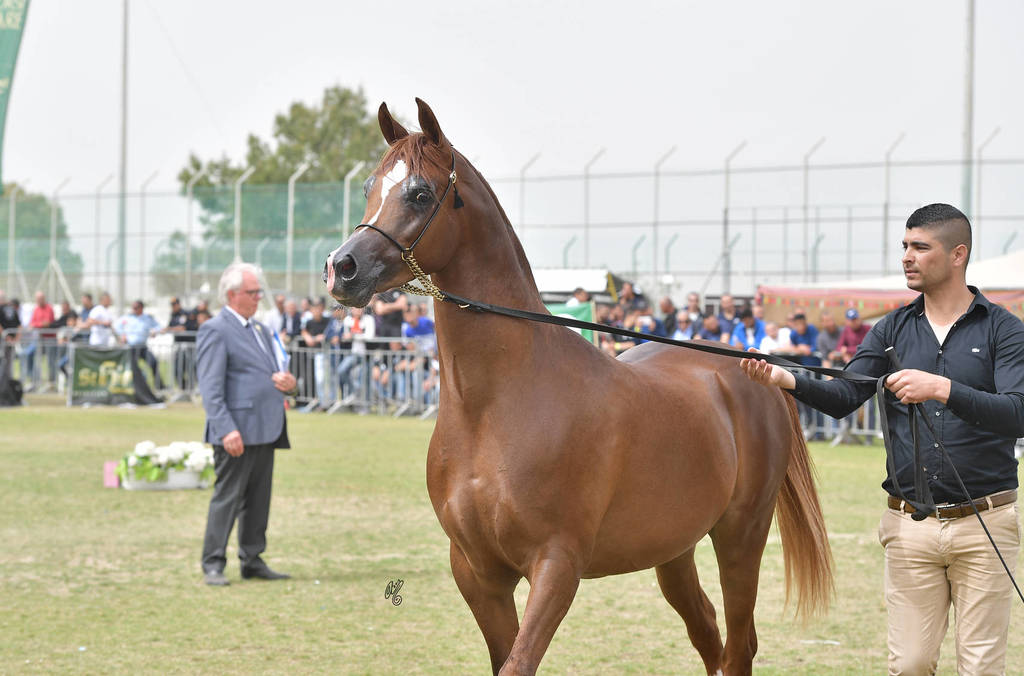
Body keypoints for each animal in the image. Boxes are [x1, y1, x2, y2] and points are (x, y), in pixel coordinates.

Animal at [324, 98, 833, 676]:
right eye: (369, 185)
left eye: (419, 193)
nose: (342, 269)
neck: (496, 408)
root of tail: (759, 372)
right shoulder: (478, 573)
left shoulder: (556, 564)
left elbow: (520, 662)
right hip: (673, 549)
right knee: (709, 635)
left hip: (740, 537)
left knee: (739, 644)